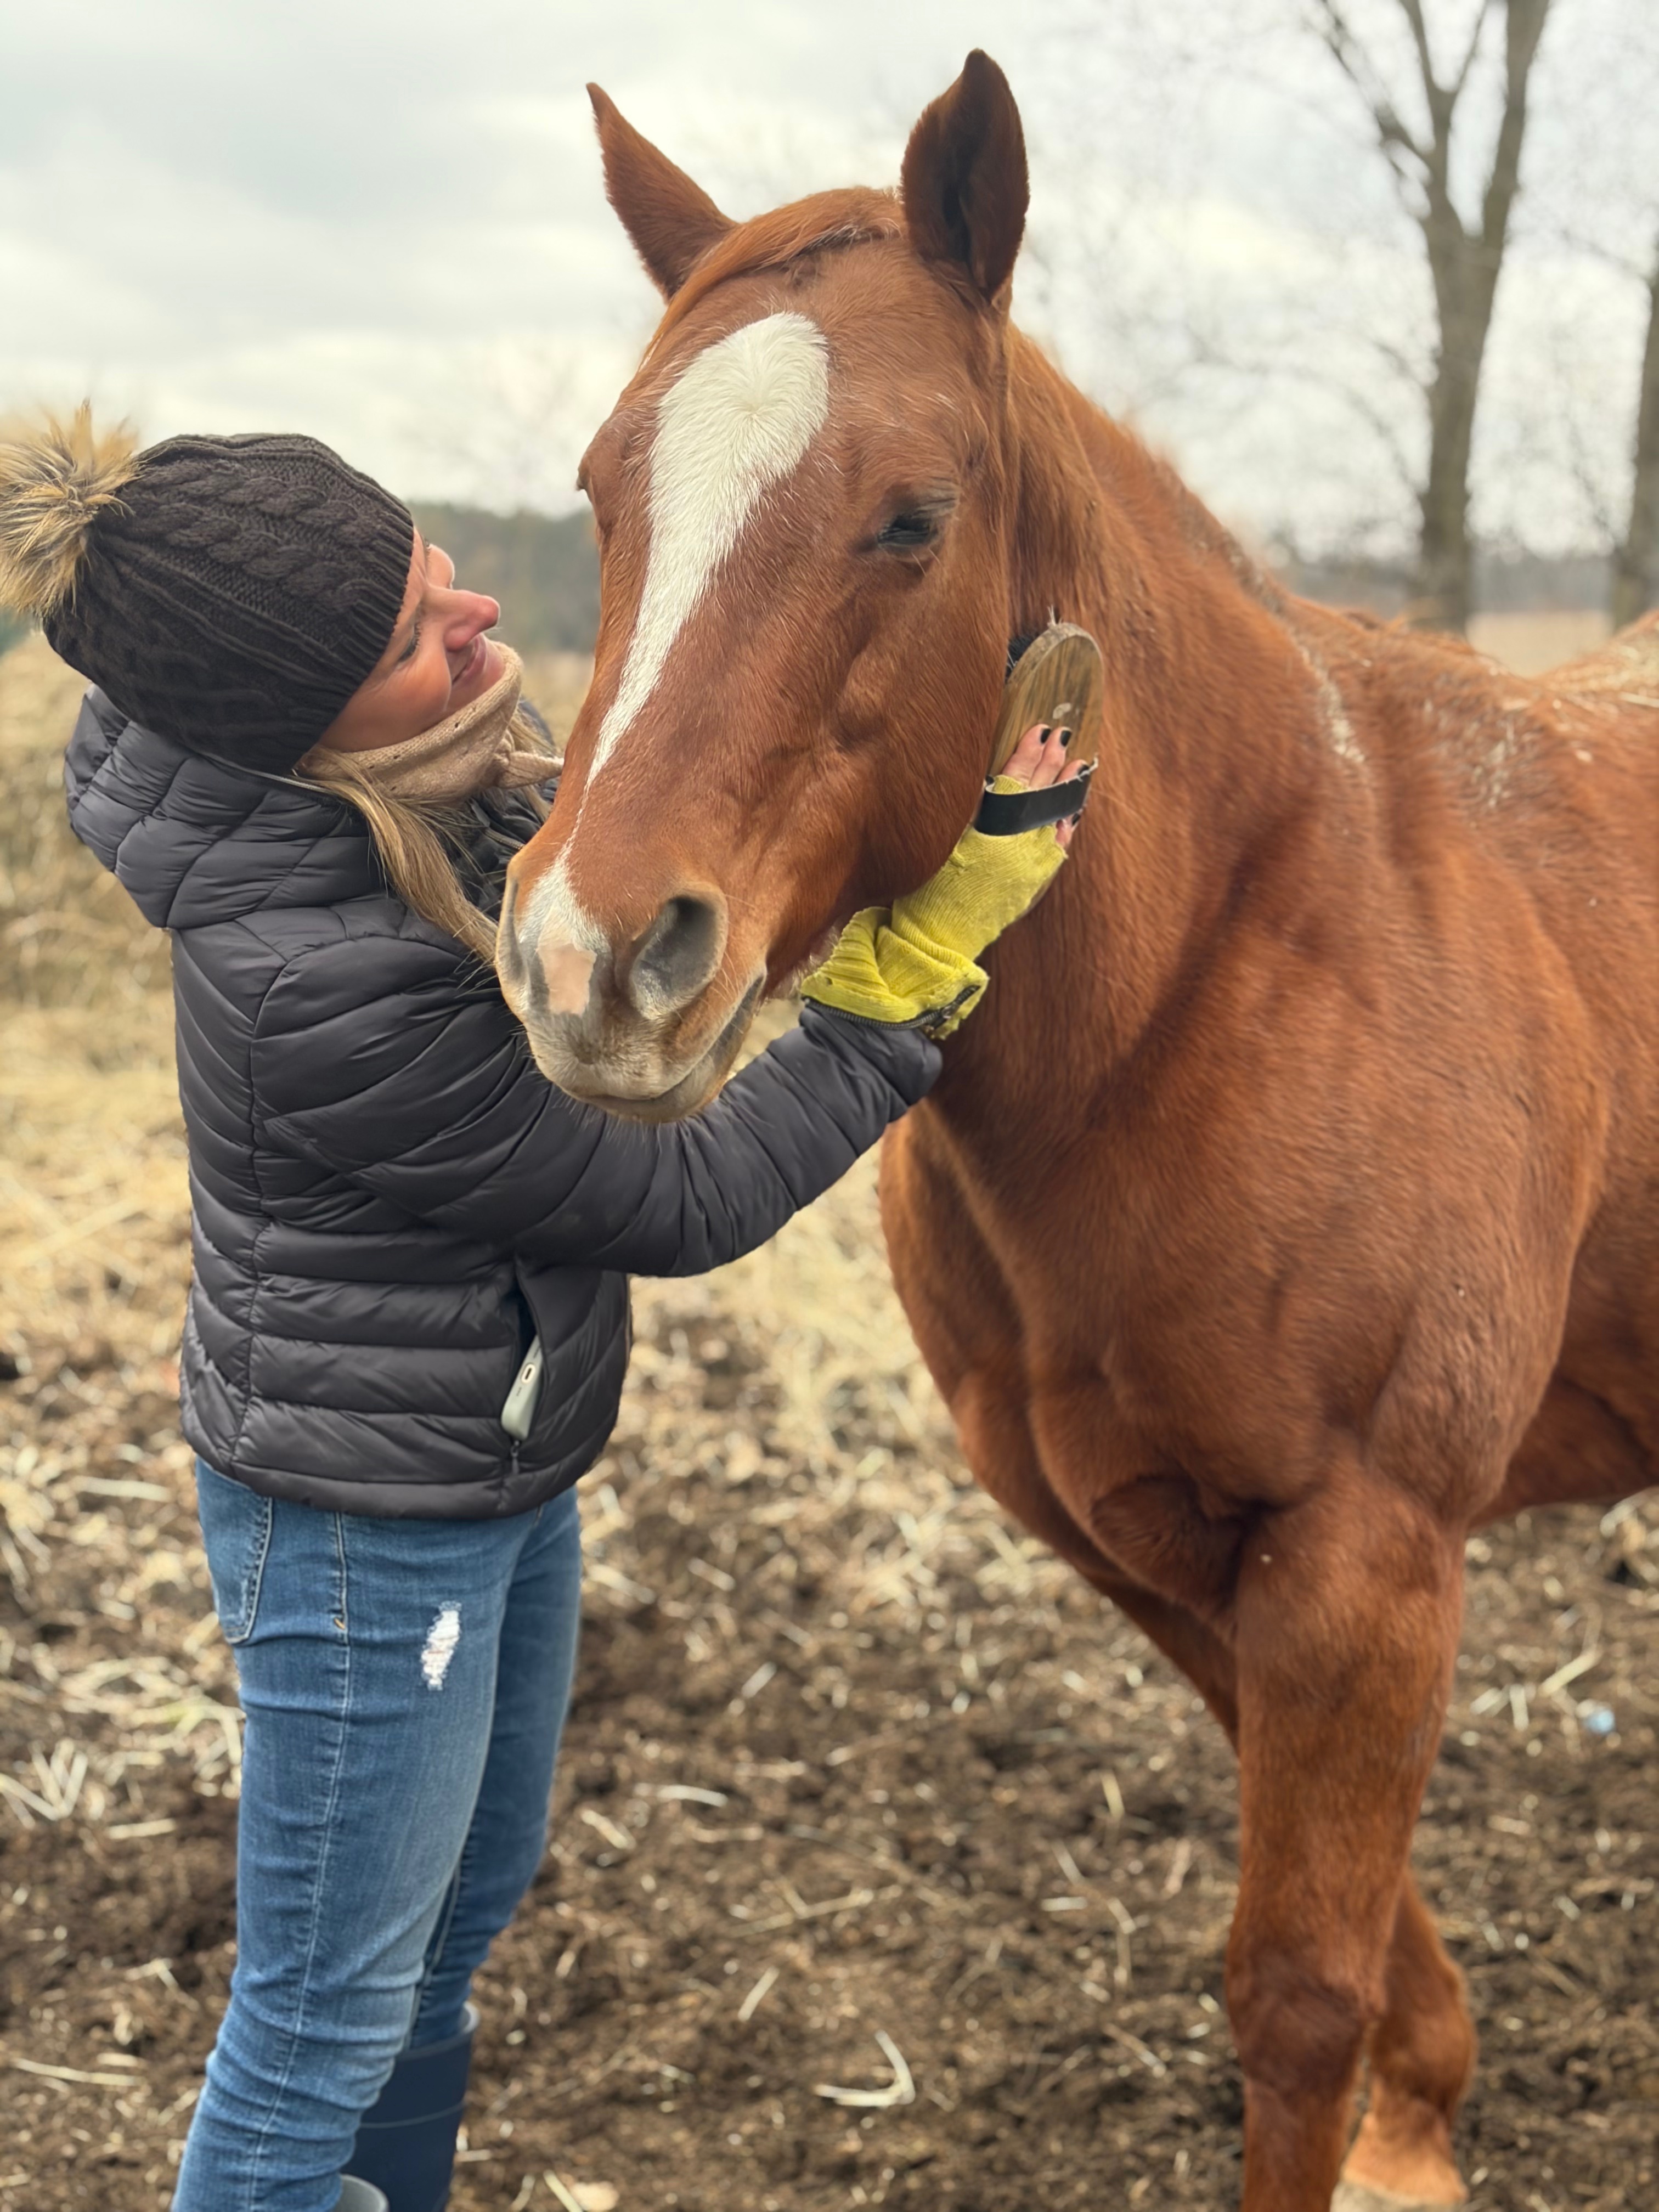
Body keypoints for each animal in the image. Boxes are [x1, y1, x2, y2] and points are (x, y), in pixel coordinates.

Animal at [495, 52, 1659, 2212]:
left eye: (911, 516)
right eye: (607, 499)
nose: (587, 961)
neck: (1233, 959)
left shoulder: (1365, 1558)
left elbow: (1296, 1992)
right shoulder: (1156, 1550)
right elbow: (1361, 1948)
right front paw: (1422, 2126)